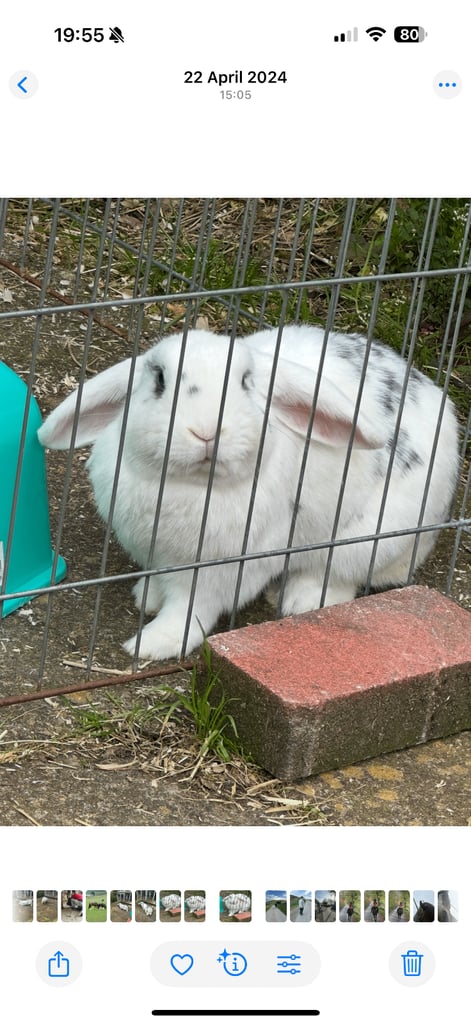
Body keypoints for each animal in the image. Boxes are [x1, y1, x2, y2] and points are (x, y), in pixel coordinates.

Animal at [38, 325, 459, 661]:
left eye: (244, 382)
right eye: (158, 380)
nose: (207, 431)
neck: (195, 486)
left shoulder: (220, 570)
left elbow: (190, 609)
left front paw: (153, 644)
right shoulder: (158, 553)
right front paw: (148, 597)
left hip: (368, 538)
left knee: (340, 574)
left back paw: (298, 600)